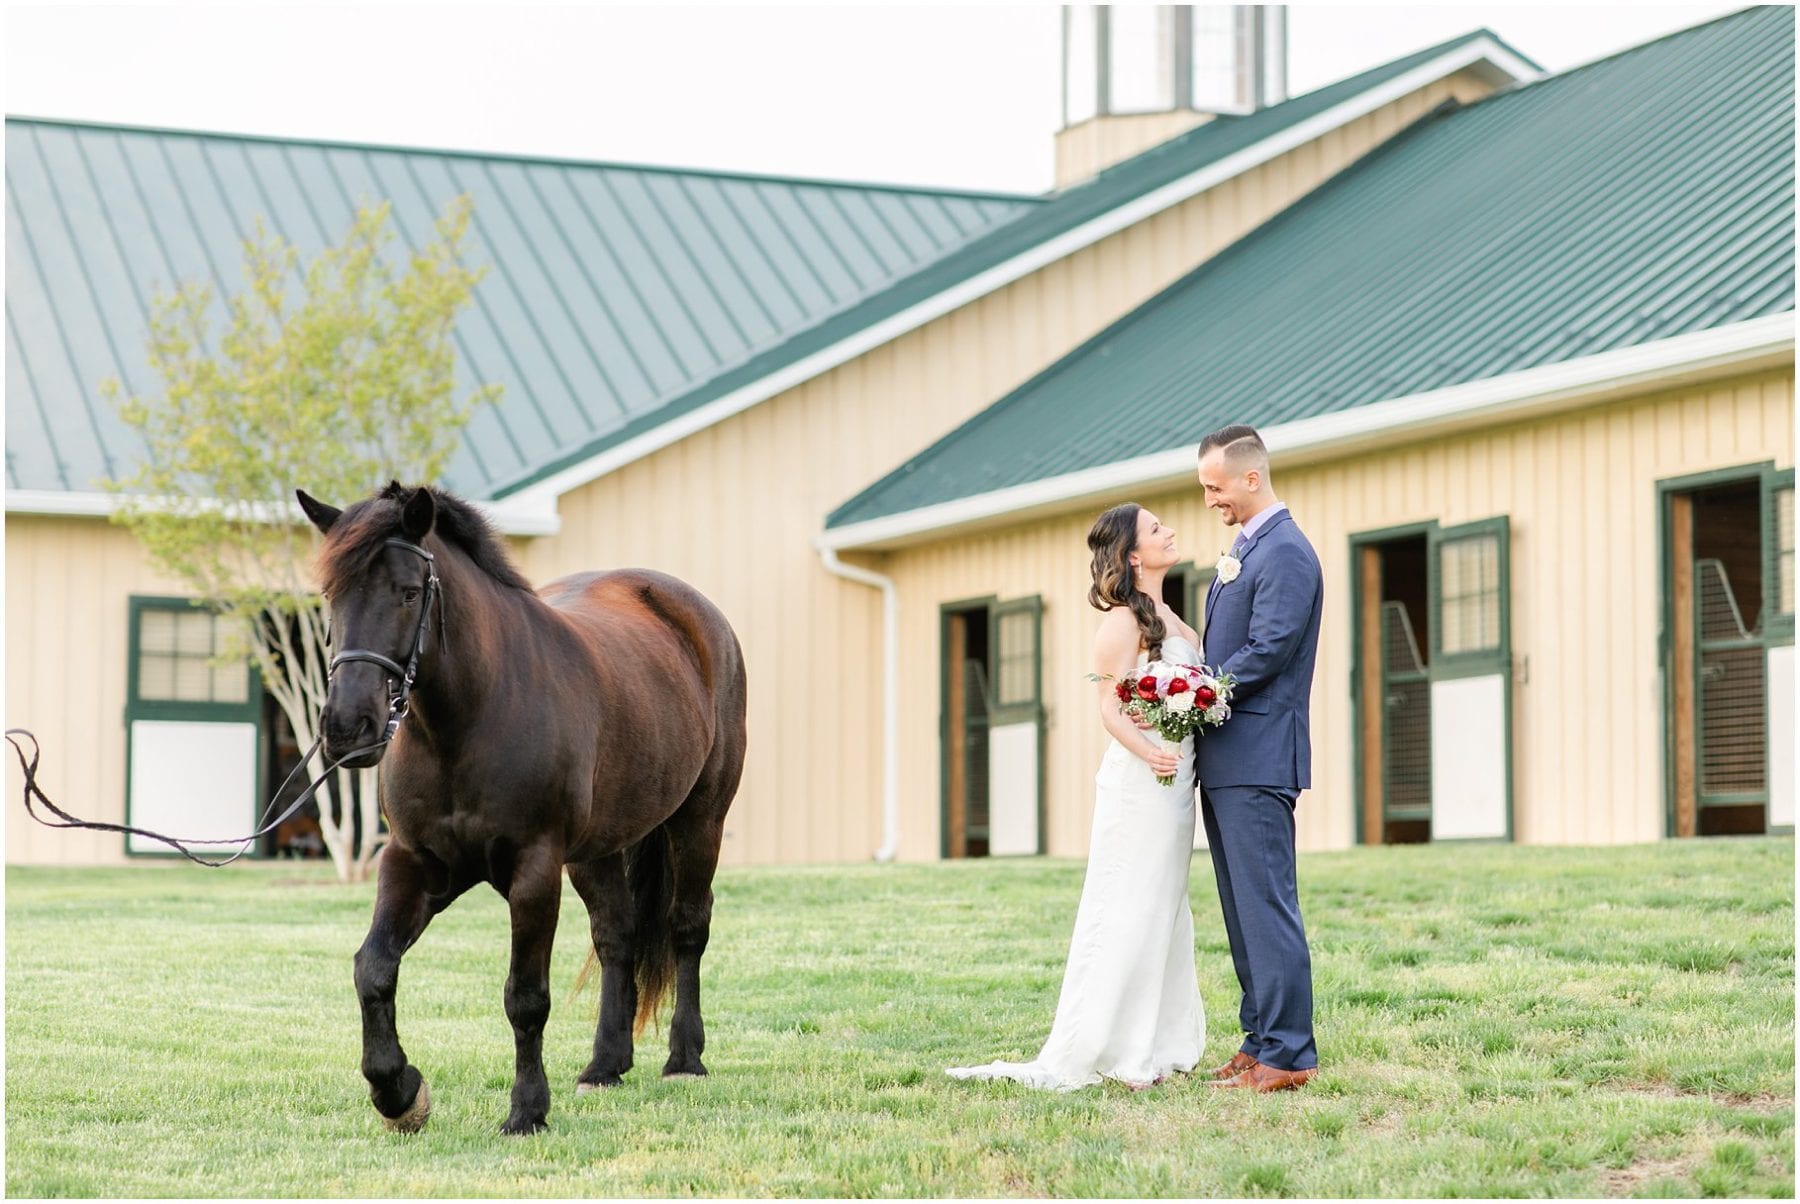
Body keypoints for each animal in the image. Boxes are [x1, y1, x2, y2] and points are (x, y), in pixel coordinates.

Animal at [300, 482, 745, 1137]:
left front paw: (527, 1110)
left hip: (699, 820)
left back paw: (684, 1060)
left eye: (408, 592)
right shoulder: (415, 863)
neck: (471, 720)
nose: (346, 728)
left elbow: (526, 997)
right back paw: (603, 1066)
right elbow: (373, 970)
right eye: (332, 594)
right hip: (597, 849)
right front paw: (399, 1092)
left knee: (688, 926)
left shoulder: (534, 871)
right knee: (617, 936)